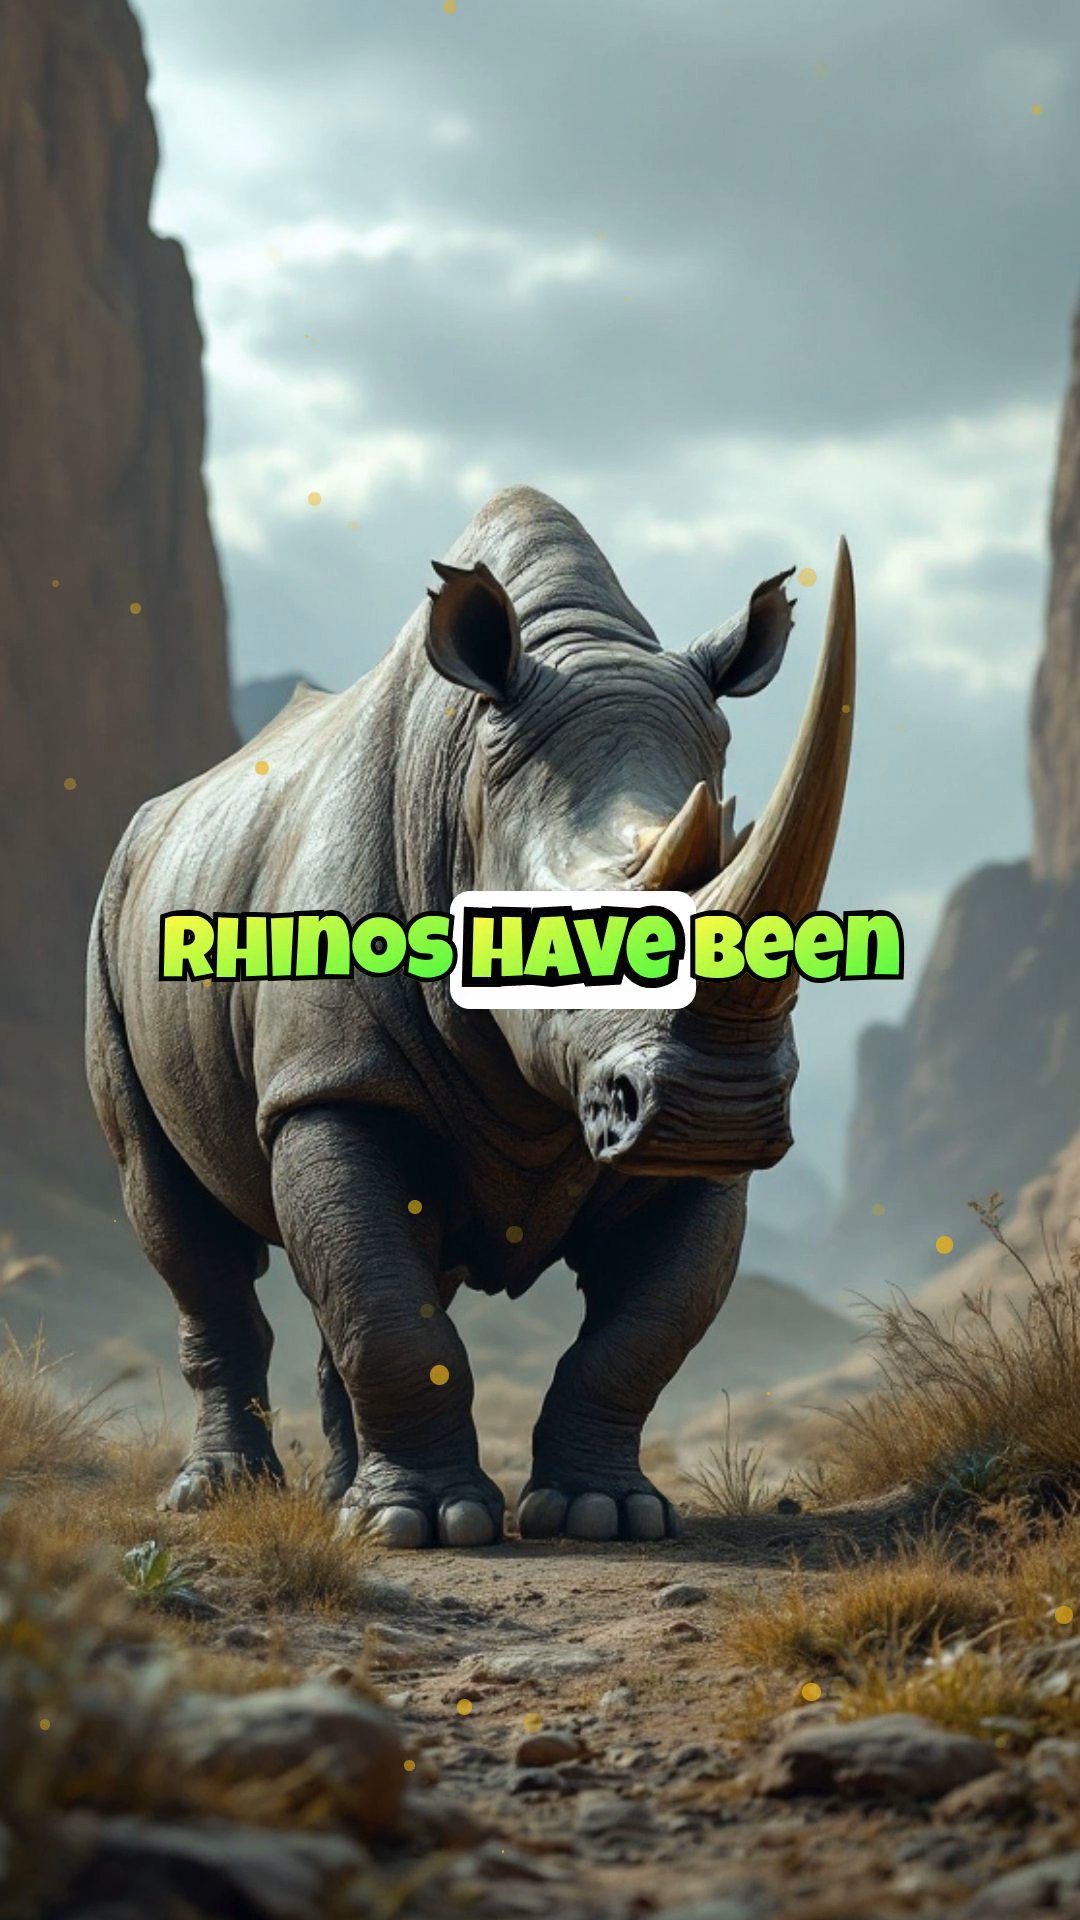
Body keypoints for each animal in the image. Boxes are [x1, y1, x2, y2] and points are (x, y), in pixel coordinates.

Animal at [86, 486, 855, 1549]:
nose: (720, 1108)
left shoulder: (684, 1158)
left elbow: (643, 1331)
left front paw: (604, 1516)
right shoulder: (331, 1081)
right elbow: (388, 1312)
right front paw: (425, 1527)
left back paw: (338, 1497)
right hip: (115, 905)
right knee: (179, 1220)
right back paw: (224, 1496)